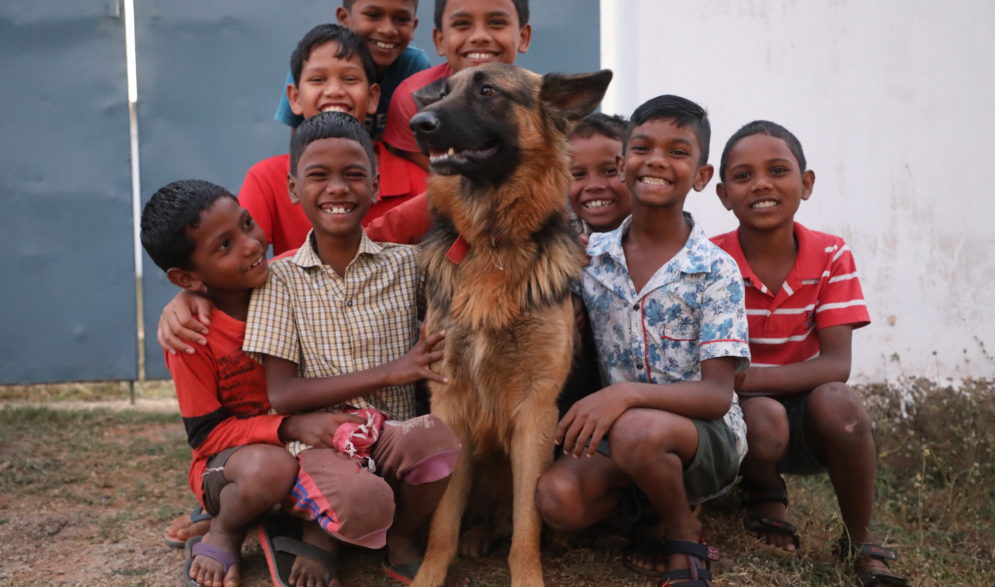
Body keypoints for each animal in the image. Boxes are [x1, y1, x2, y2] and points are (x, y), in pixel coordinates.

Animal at [408, 62, 612, 584]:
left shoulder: (536, 412)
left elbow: (526, 522)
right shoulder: (451, 404)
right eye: (444, 91)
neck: (493, 243)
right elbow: (443, 520)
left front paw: (527, 575)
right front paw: (429, 573)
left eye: (487, 91)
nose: (419, 124)